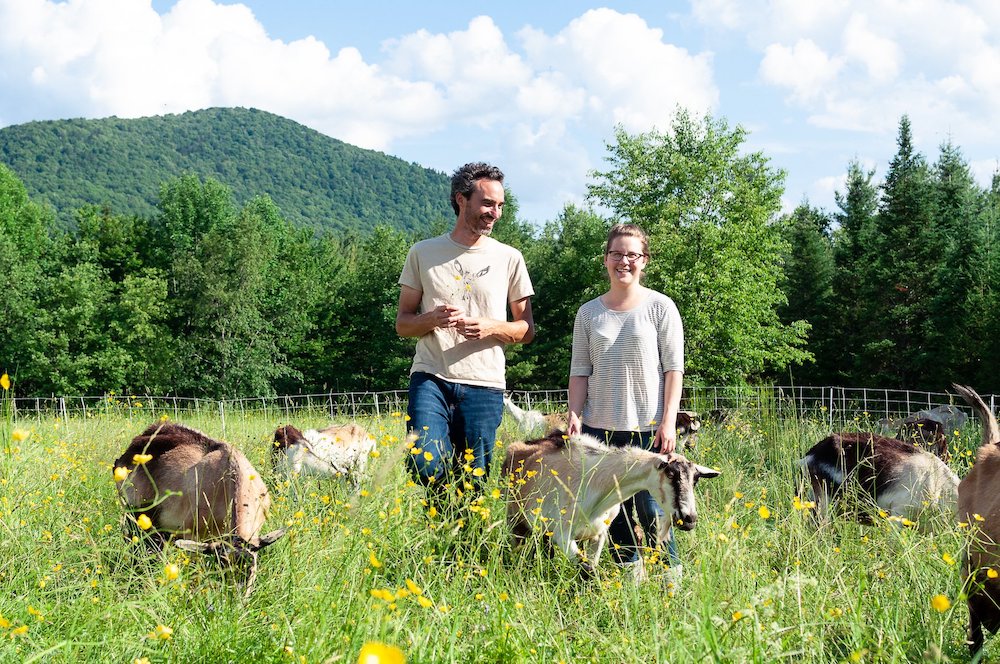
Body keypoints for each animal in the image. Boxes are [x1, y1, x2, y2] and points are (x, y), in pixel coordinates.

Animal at [500, 430, 720, 576]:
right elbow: (588, 571)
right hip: (515, 518)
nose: (689, 518)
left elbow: (590, 568)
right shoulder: (563, 535)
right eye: (671, 474)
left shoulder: (598, 535)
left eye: (695, 479)